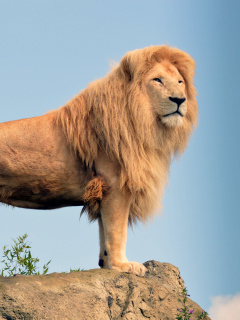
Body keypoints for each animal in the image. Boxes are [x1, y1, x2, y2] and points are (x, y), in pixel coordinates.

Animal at [0, 45, 197, 278]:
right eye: (157, 80)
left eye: (180, 82)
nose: (179, 100)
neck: (144, 123)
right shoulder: (115, 185)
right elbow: (117, 230)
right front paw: (123, 265)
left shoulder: (104, 191)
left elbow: (105, 231)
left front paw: (106, 263)